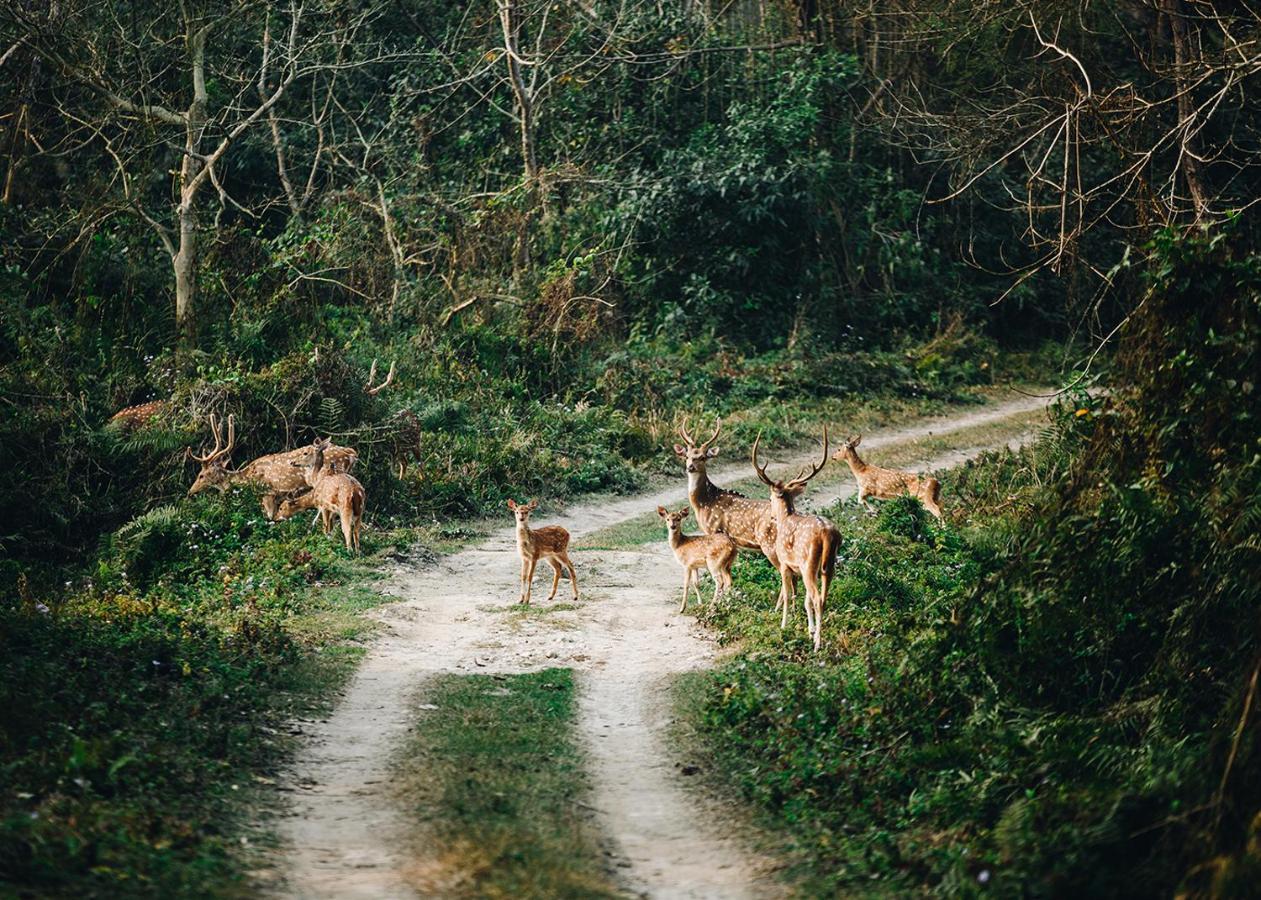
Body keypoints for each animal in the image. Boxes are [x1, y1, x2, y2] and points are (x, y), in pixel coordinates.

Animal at [670, 415, 786, 607]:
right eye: (687, 456)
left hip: (770, 543)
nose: (690, 467)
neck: (705, 502)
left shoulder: (713, 530)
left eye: (702, 457)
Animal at [751, 428, 842, 650]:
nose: (772, 516)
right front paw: (809, 630)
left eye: (770, 498)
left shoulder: (785, 564)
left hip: (808, 562)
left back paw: (818, 644)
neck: (787, 517)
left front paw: (784, 625)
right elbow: (804, 600)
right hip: (828, 565)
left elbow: (789, 594)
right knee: (822, 597)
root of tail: (827, 533)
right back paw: (817, 636)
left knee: (817, 598)